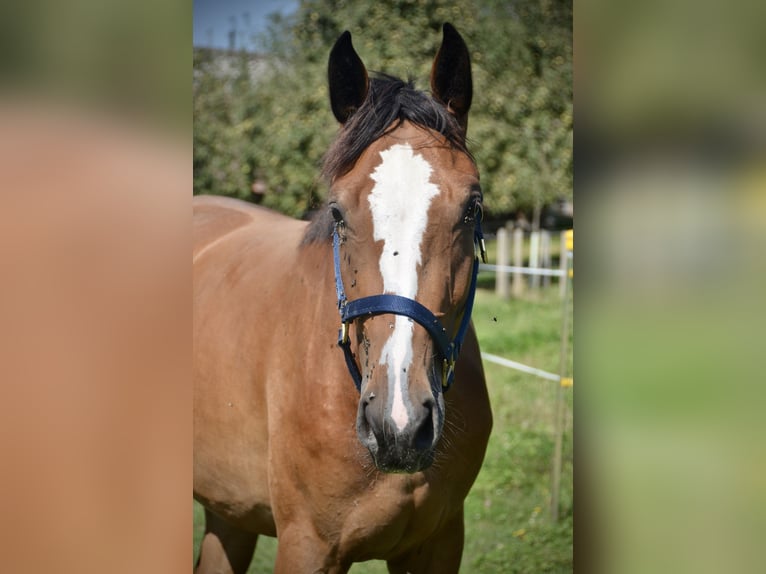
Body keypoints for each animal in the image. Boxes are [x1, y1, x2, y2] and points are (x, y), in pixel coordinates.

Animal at [192, 23, 492, 574]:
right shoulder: (307, 546)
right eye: (336, 212)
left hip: (230, 512)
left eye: (472, 207)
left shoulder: (438, 543)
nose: (399, 423)